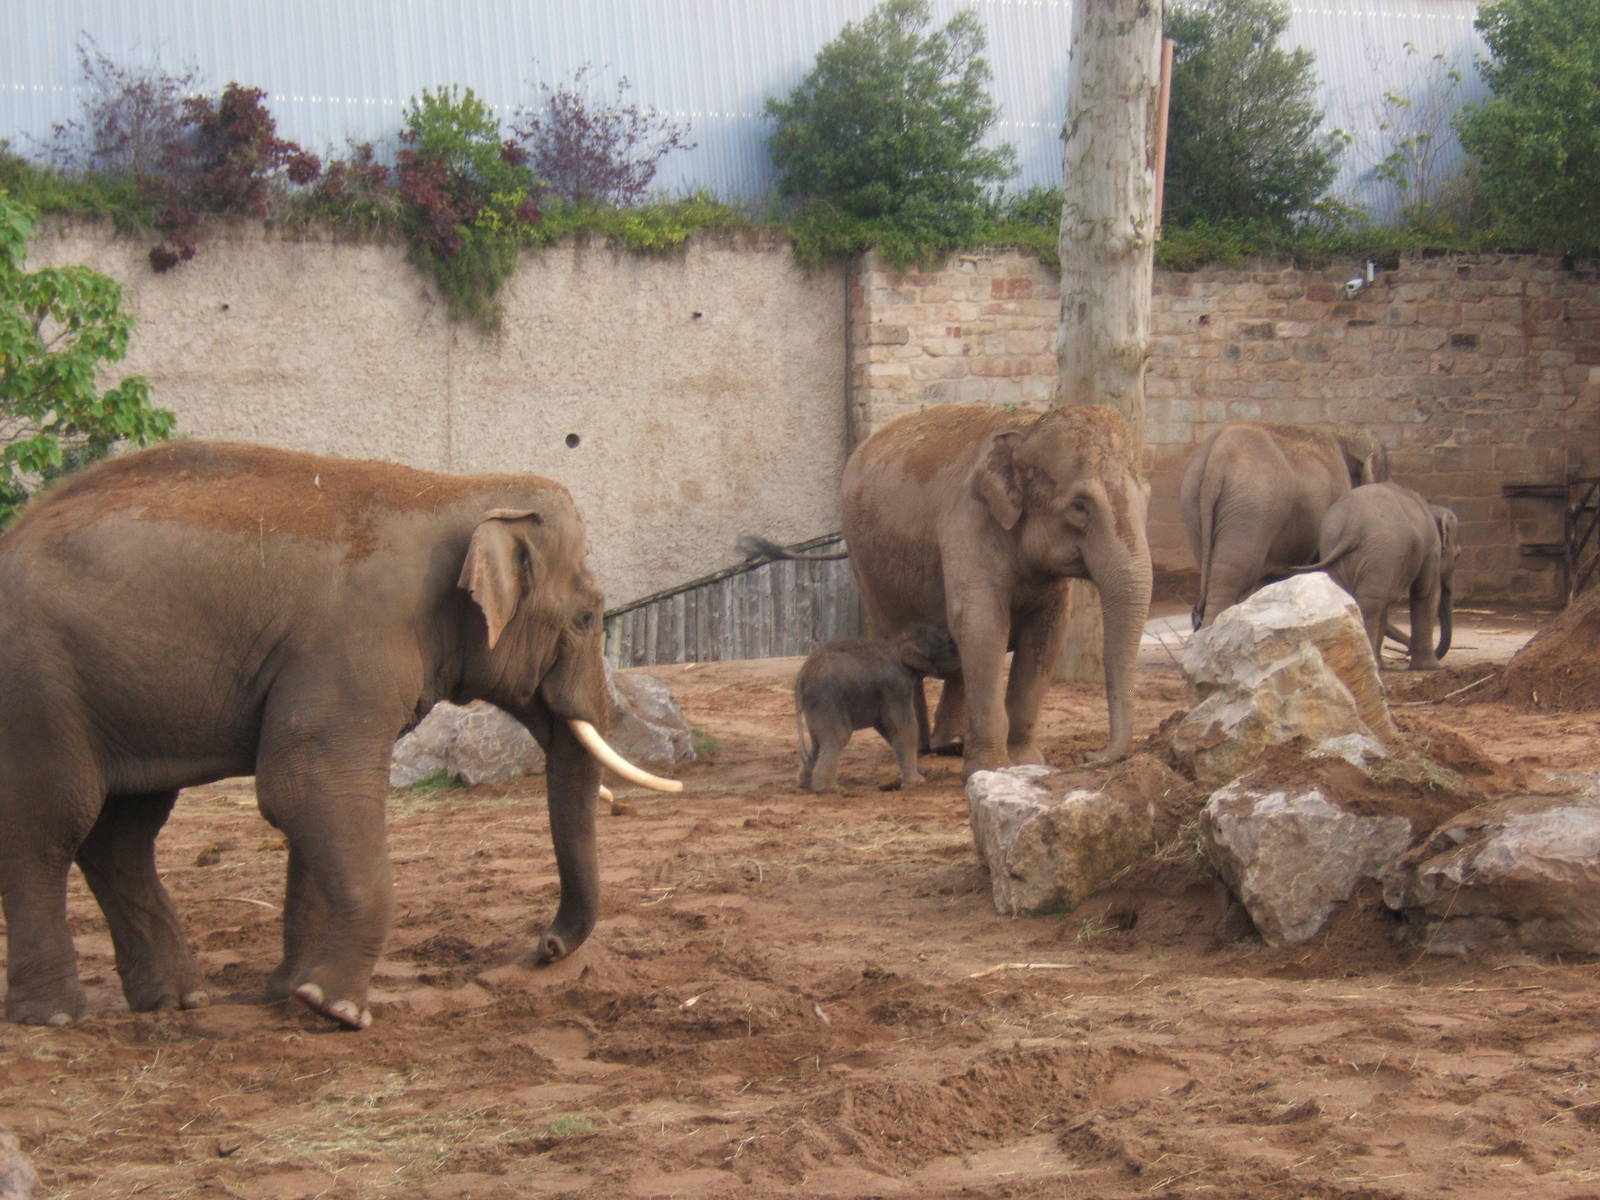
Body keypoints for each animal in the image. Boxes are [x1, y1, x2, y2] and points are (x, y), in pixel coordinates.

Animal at [0, 441, 679, 1029]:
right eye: (586, 617)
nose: (545, 947)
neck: (458, 490)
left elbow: (309, 803)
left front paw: (291, 993)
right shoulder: (354, 643)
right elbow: (306, 787)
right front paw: (338, 1010)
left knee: (123, 832)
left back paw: (176, 1001)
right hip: (36, 688)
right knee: (49, 823)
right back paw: (53, 1016)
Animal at [794, 624, 962, 794]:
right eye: (950, 642)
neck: (901, 641)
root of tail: (802, 676)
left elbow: (886, 728)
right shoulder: (896, 687)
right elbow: (904, 727)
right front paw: (918, 782)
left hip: (816, 705)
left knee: (817, 741)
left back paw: (805, 784)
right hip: (828, 700)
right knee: (838, 737)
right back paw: (831, 789)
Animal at [840, 403, 1153, 778]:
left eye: (1147, 499)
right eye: (1080, 506)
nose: (1091, 756)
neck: (1027, 428)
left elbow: (1046, 635)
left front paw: (1026, 761)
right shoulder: (969, 521)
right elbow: (983, 625)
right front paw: (990, 768)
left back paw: (949, 745)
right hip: (865, 570)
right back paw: (920, 748)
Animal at [1295, 482, 1459, 669]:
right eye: (1458, 556)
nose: (1406, 654)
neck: (1431, 507)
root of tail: (1353, 527)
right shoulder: (1431, 548)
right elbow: (1426, 593)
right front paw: (1430, 667)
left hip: (1337, 547)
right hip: (1382, 552)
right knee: (1372, 603)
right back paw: (1371, 666)